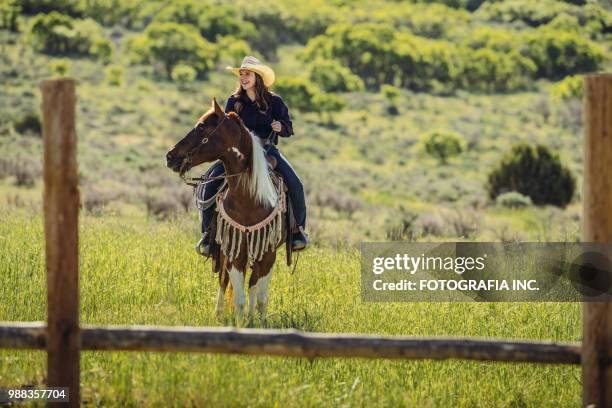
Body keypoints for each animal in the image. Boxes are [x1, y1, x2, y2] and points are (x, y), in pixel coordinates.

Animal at [164, 98, 286, 326]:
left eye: (201, 127)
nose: (169, 156)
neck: (249, 199)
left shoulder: (268, 253)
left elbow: (260, 296)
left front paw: (257, 322)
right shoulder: (233, 251)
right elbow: (238, 297)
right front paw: (239, 324)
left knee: (252, 284)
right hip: (222, 249)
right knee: (223, 279)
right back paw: (220, 312)